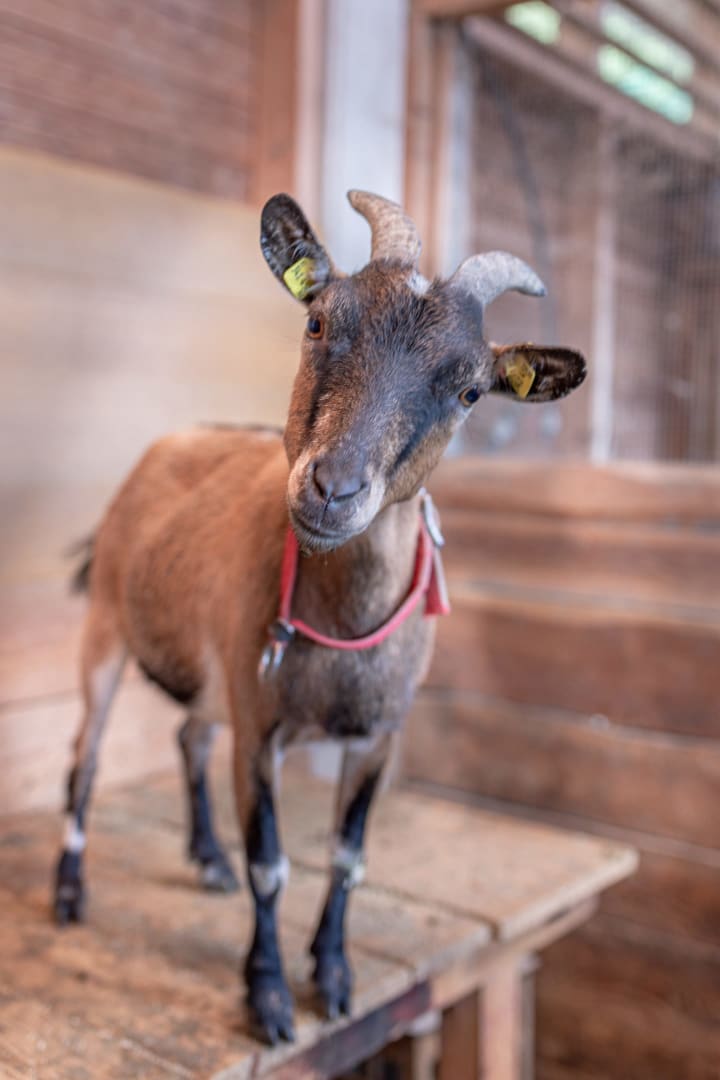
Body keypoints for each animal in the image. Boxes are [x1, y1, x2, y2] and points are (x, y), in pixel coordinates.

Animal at [53, 190, 586, 1045]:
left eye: (470, 391)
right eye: (317, 322)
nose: (332, 489)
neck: (341, 628)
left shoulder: (376, 734)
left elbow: (347, 856)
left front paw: (332, 975)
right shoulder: (261, 726)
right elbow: (272, 864)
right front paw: (268, 996)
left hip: (211, 676)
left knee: (188, 735)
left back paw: (206, 858)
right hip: (105, 624)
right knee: (87, 755)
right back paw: (70, 892)